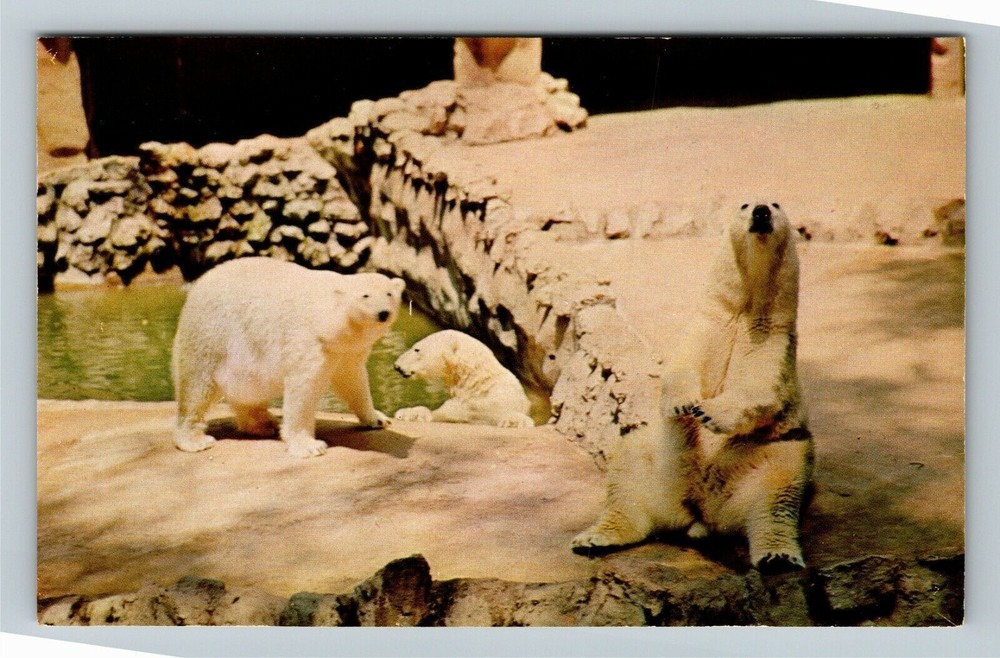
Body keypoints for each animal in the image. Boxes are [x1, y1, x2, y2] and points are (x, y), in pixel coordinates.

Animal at [171, 256, 405, 458]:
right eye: (365, 295)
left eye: (389, 294)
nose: (383, 313)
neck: (328, 319)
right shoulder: (310, 341)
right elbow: (304, 388)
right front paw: (310, 446)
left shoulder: (346, 351)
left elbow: (353, 381)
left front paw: (377, 419)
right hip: (211, 333)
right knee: (197, 386)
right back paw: (195, 440)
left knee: (249, 391)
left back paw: (264, 425)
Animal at [572, 202, 814, 573]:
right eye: (745, 204)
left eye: (775, 204)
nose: (761, 212)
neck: (745, 309)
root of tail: (700, 510)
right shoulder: (708, 326)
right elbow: (682, 368)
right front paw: (684, 405)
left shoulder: (774, 342)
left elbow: (759, 391)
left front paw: (708, 412)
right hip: (658, 461)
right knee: (628, 473)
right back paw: (595, 538)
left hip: (773, 456)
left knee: (776, 497)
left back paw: (778, 557)